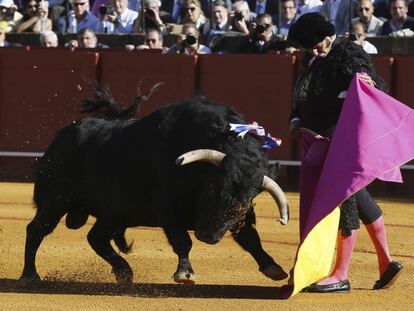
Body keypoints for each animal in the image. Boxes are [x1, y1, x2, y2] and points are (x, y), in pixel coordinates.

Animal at [21, 96, 290, 284]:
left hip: (114, 213)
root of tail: (61, 137)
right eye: (213, 187)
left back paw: (124, 273)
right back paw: (30, 276)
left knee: (96, 237)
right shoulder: (167, 208)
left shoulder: (241, 215)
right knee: (36, 229)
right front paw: (185, 274)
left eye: (249, 196)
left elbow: (251, 239)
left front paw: (274, 268)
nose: (207, 236)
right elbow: (182, 242)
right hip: (55, 201)